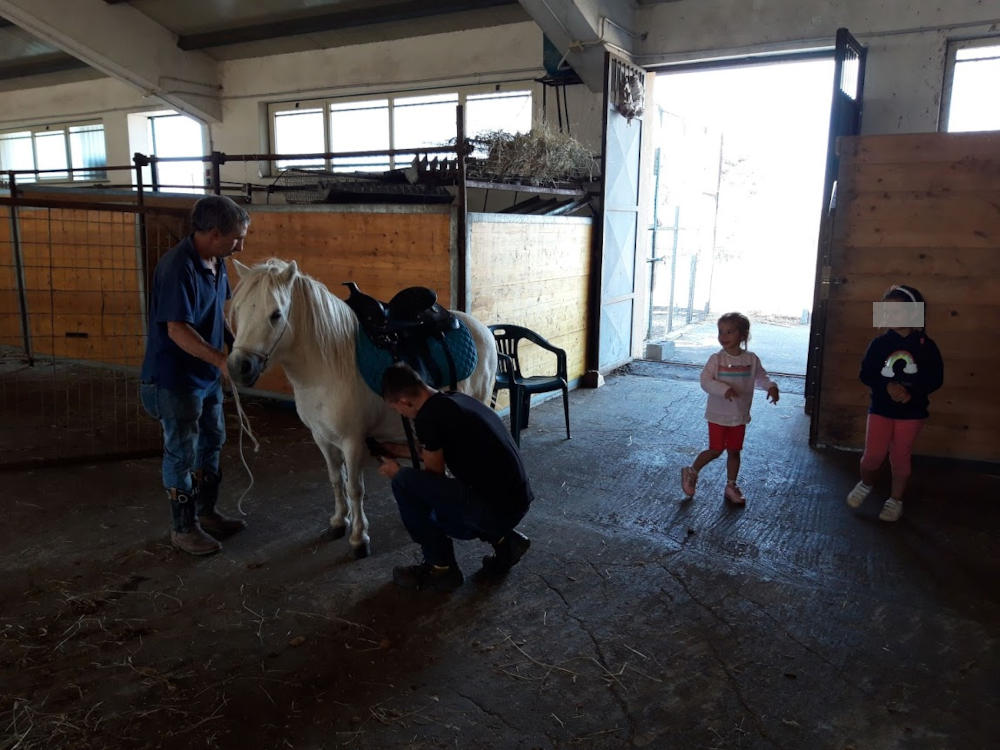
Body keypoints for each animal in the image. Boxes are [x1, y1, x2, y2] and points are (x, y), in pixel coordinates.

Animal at [229, 258, 500, 560]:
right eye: (238, 309)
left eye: (276, 315)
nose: (239, 367)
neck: (327, 367)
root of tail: (480, 327)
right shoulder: (322, 438)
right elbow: (336, 479)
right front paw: (338, 522)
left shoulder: (353, 441)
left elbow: (355, 488)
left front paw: (359, 538)